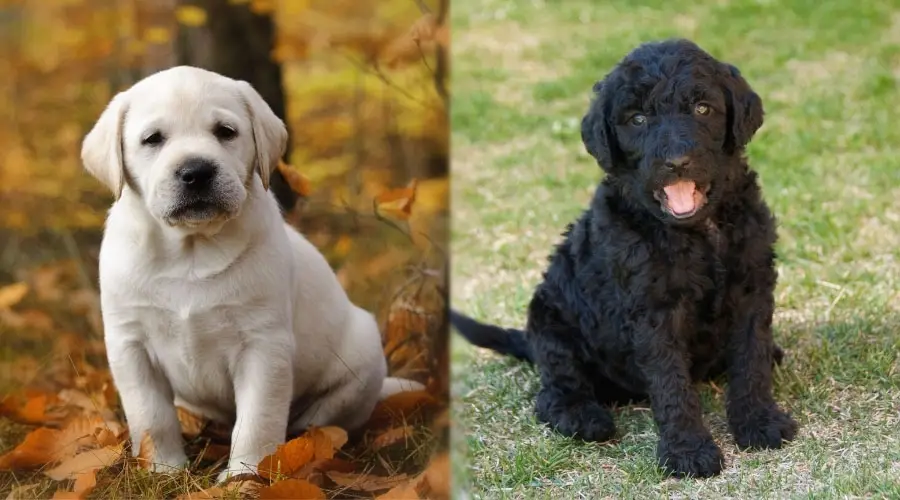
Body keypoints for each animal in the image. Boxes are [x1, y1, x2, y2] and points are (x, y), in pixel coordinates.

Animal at [81, 66, 418, 480]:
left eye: (225, 131)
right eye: (153, 139)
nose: (196, 171)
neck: (191, 251)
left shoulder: (263, 344)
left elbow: (258, 417)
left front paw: (246, 475)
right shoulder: (130, 344)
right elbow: (150, 415)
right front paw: (163, 470)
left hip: (361, 357)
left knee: (320, 418)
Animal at [454, 39, 800, 476]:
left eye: (702, 108)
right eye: (637, 119)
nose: (677, 161)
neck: (697, 233)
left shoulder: (751, 288)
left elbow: (750, 360)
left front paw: (759, 421)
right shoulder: (654, 310)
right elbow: (671, 384)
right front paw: (687, 451)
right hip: (552, 322)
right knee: (555, 389)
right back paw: (583, 416)